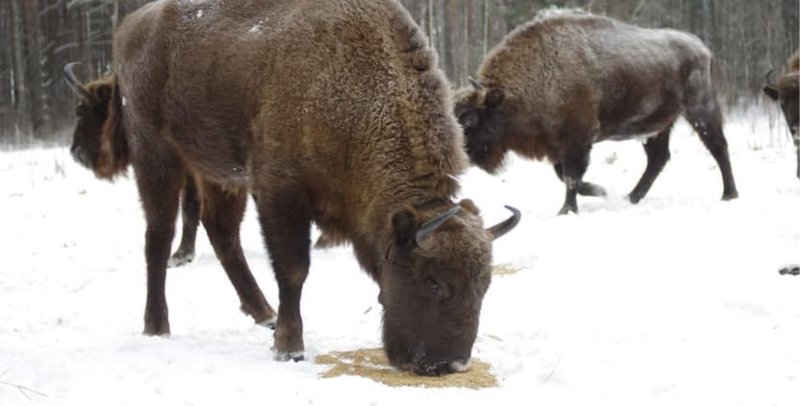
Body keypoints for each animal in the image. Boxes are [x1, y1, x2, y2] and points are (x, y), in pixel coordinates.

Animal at [65, 0, 520, 378]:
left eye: (485, 285)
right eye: (432, 282)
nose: (449, 365)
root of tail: (129, 27)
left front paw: (279, 333)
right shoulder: (280, 194)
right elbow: (294, 269)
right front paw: (290, 347)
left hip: (218, 173)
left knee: (222, 235)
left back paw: (262, 312)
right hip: (158, 157)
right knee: (158, 237)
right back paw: (158, 326)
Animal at [454, 9, 740, 214]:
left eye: (470, 119)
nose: (459, 156)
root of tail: (702, 48)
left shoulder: (578, 140)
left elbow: (571, 177)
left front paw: (567, 210)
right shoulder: (559, 146)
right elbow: (566, 176)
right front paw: (601, 192)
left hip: (701, 111)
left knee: (718, 148)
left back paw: (729, 195)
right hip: (656, 127)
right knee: (658, 159)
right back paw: (630, 198)